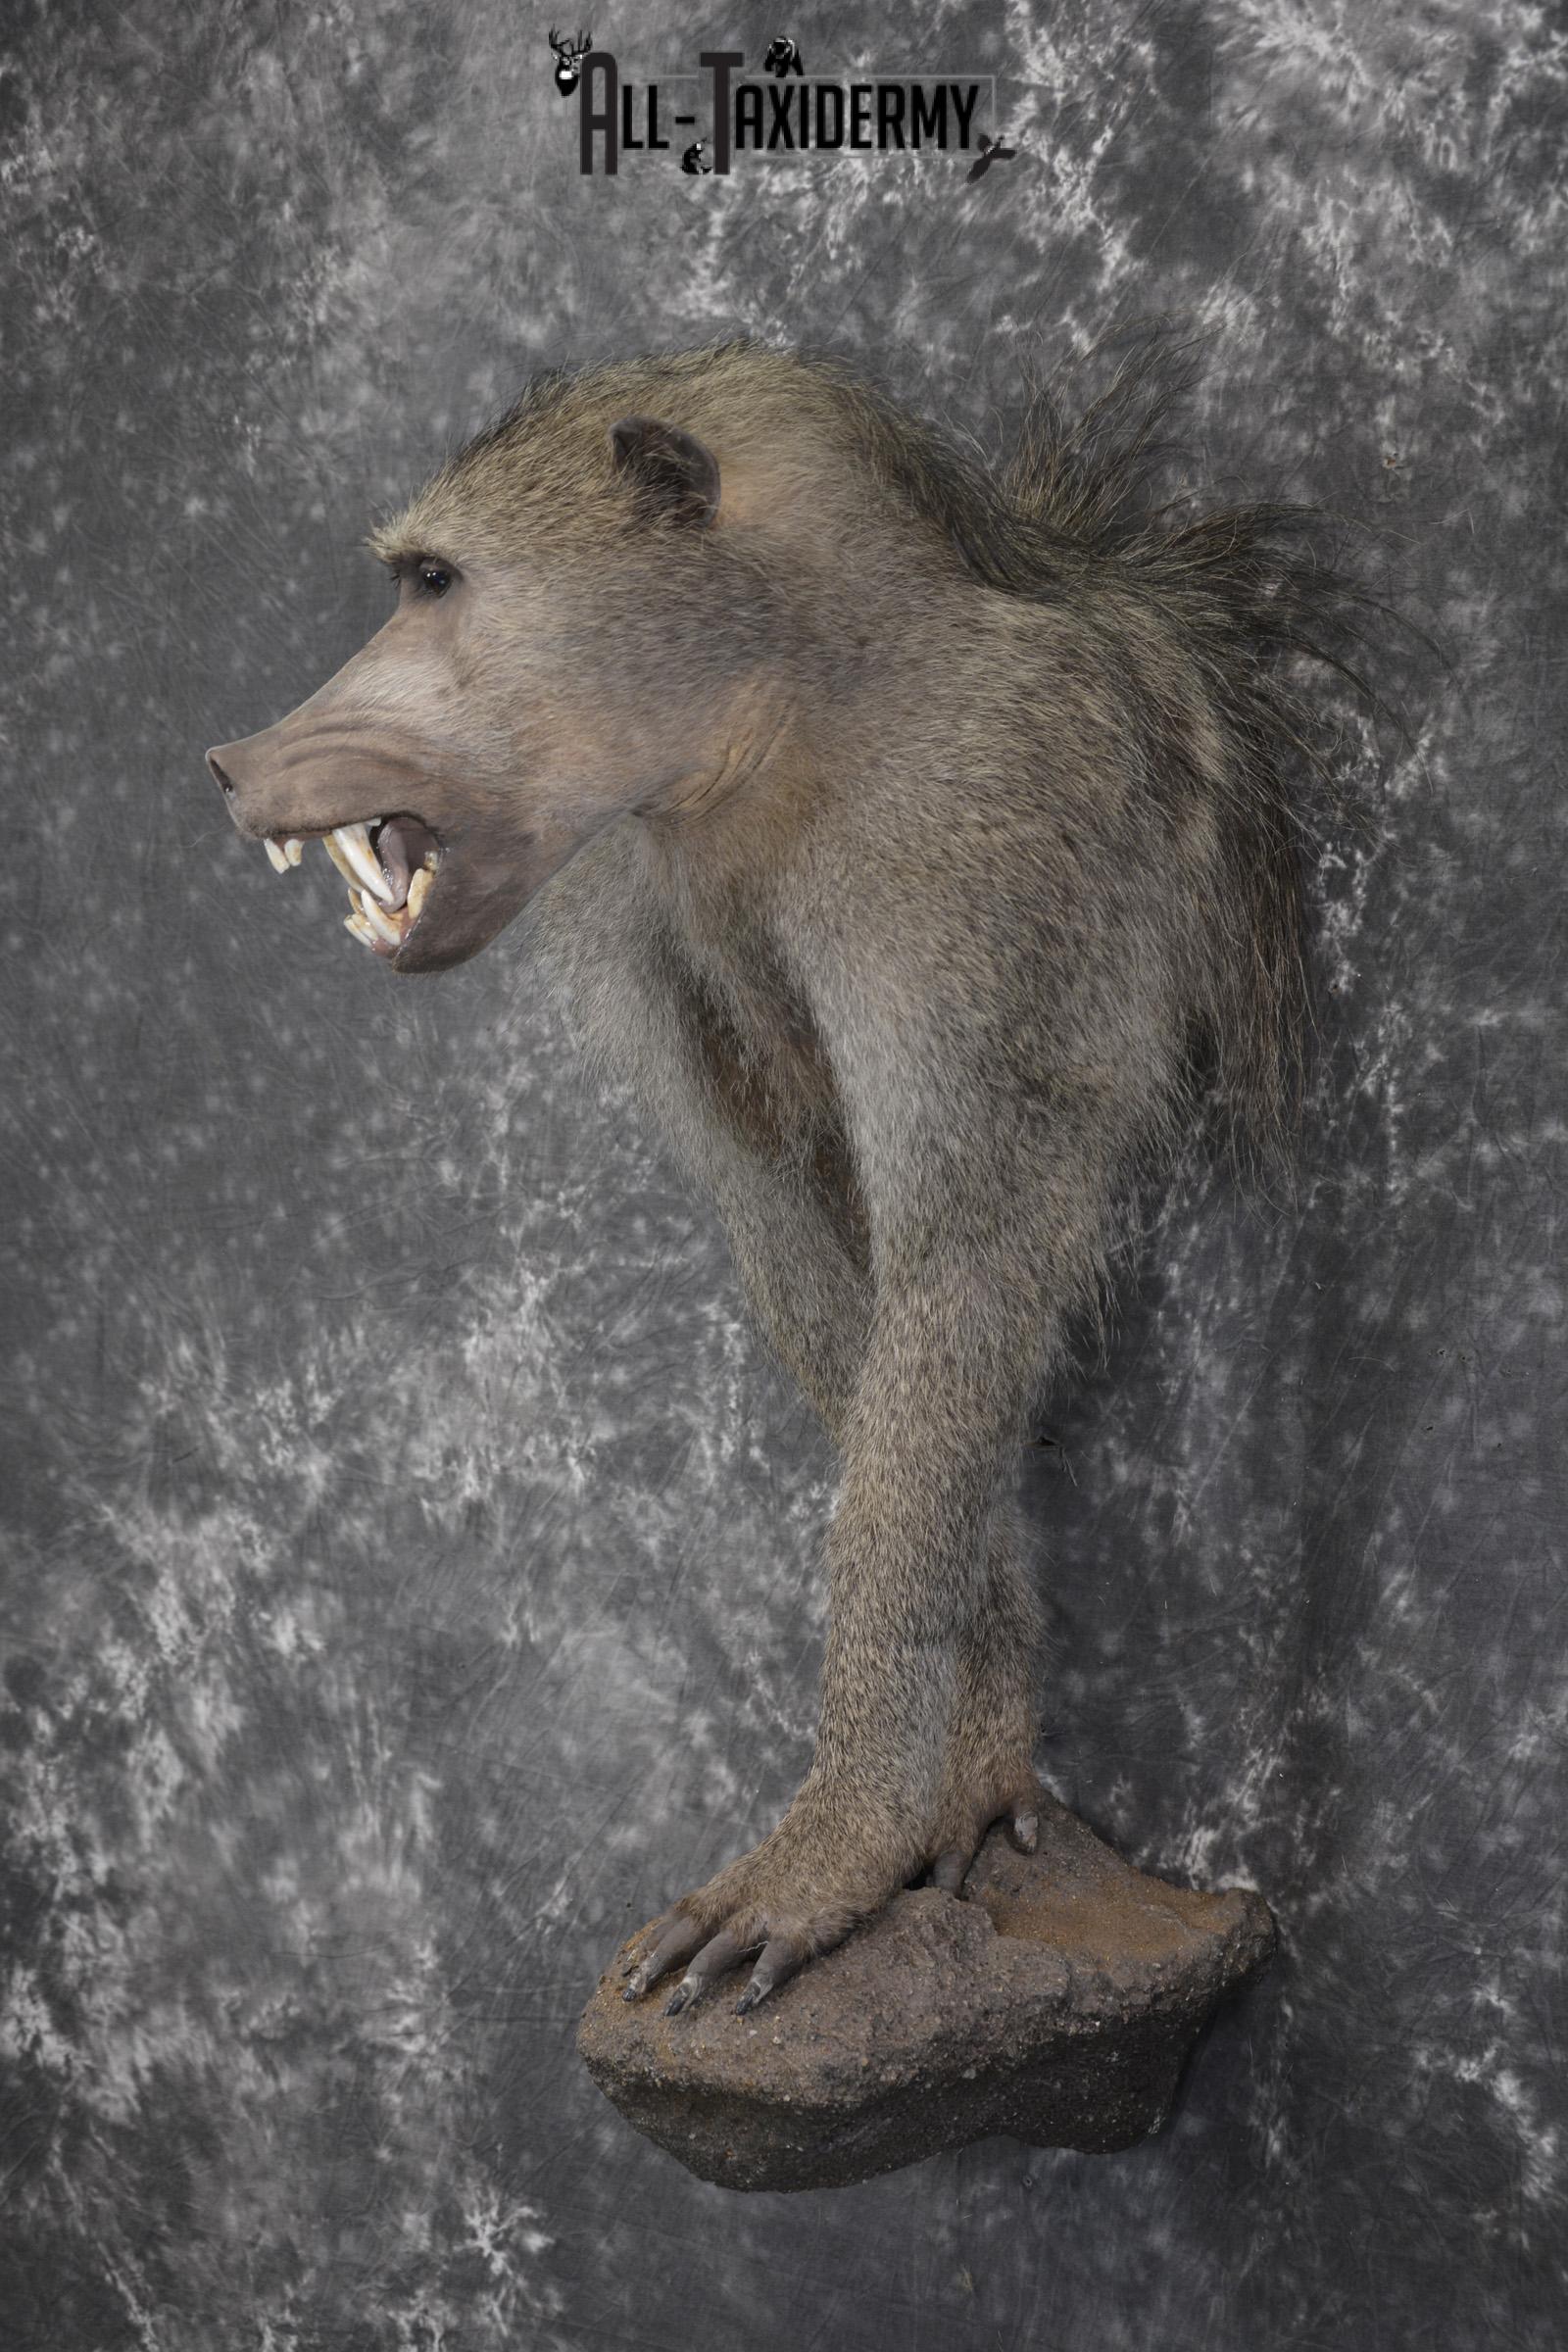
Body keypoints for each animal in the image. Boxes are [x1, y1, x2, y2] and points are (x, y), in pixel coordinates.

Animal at [207, 337, 1370, 2020]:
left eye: (433, 581)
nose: (233, 764)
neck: (786, 707)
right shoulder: (647, 897)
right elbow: (809, 1249)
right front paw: (958, 1764)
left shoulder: (975, 850)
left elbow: (961, 1267)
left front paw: (846, 1840)